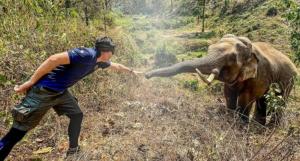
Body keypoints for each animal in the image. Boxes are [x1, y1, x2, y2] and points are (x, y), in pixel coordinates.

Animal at [145, 34, 298, 126]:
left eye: (231, 58)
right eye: (209, 48)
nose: (146, 75)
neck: (249, 47)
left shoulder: (259, 74)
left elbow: (246, 97)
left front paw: (240, 126)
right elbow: (228, 93)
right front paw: (230, 119)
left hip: (288, 80)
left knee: (279, 100)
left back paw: (269, 128)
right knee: (264, 100)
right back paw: (259, 125)